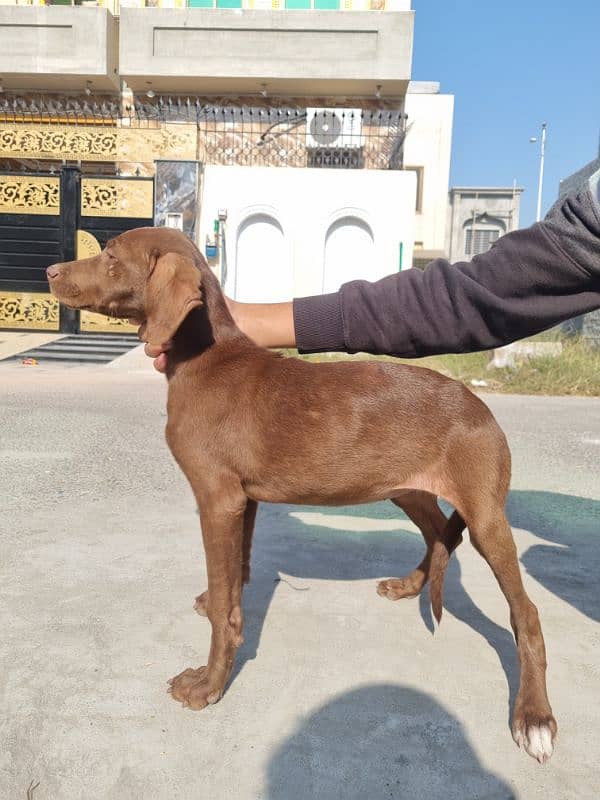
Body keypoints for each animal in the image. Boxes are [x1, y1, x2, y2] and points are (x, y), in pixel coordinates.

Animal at [48, 227, 556, 764]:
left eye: (110, 256)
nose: (50, 272)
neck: (203, 356)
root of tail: (483, 409)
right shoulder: (242, 499)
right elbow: (235, 577)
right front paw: (217, 605)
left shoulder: (217, 498)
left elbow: (227, 605)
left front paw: (208, 684)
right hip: (408, 489)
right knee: (441, 534)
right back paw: (409, 586)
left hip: (485, 515)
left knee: (524, 612)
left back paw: (535, 717)